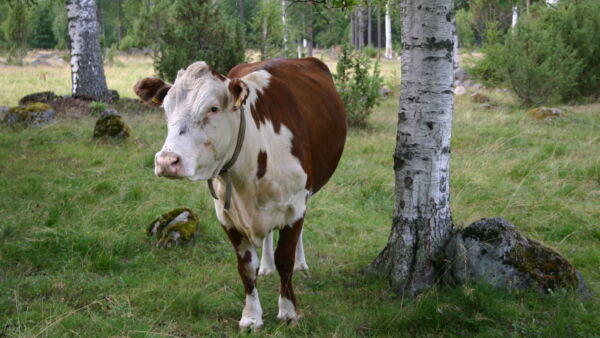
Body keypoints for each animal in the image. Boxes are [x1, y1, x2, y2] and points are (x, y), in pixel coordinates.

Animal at [133, 58, 344, 330]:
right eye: (166, 109)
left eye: (213, 108)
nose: (167, 161)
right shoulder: (227, 216)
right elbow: (245, 268)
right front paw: (251, 316)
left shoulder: (295, 207)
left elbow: (285, 259)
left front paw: (288, 311)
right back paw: (266, 266)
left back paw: (301, 264)